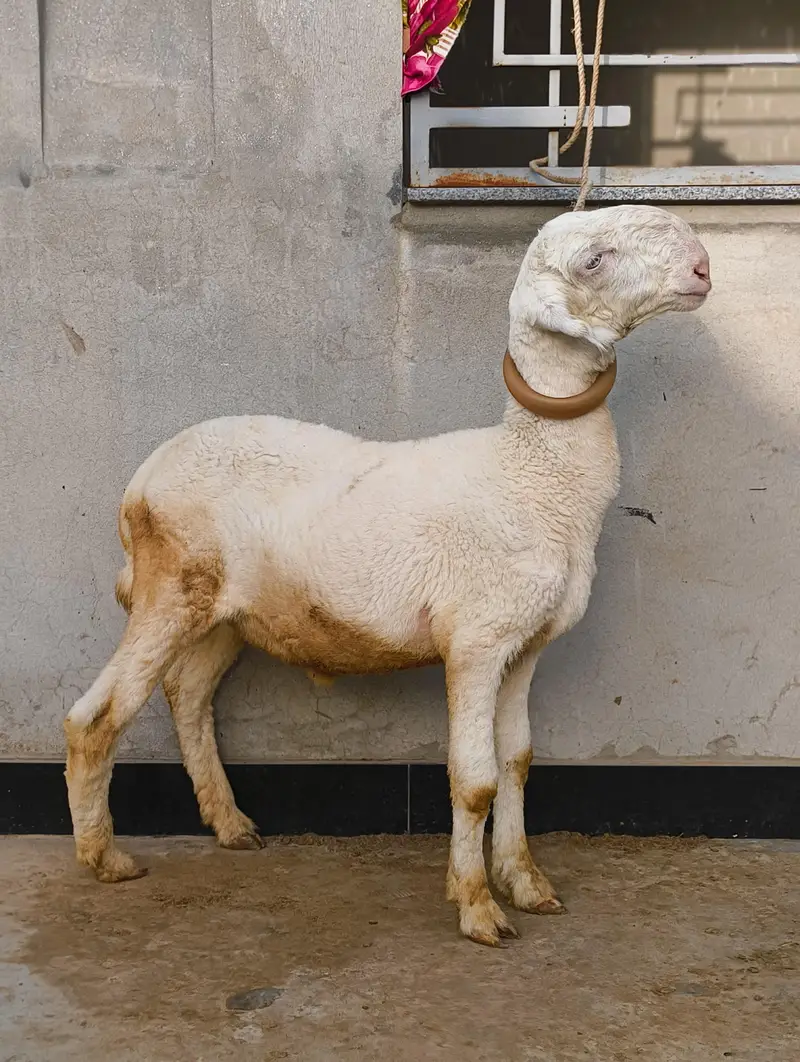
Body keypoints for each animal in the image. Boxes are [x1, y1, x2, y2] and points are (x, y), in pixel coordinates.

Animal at [64, 204, 711, 946]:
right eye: (593, 261)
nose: (702, 268)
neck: (529, 476)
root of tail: (139, 484)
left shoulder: (525, 644)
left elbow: (517, 763)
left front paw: (526, 884)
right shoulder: (476, 641)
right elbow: (476, 780)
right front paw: (477, 907)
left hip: (226, 611)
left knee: (189, 693)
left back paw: (230, 825)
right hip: (170, 585)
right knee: (95, 717)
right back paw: (105, 858)